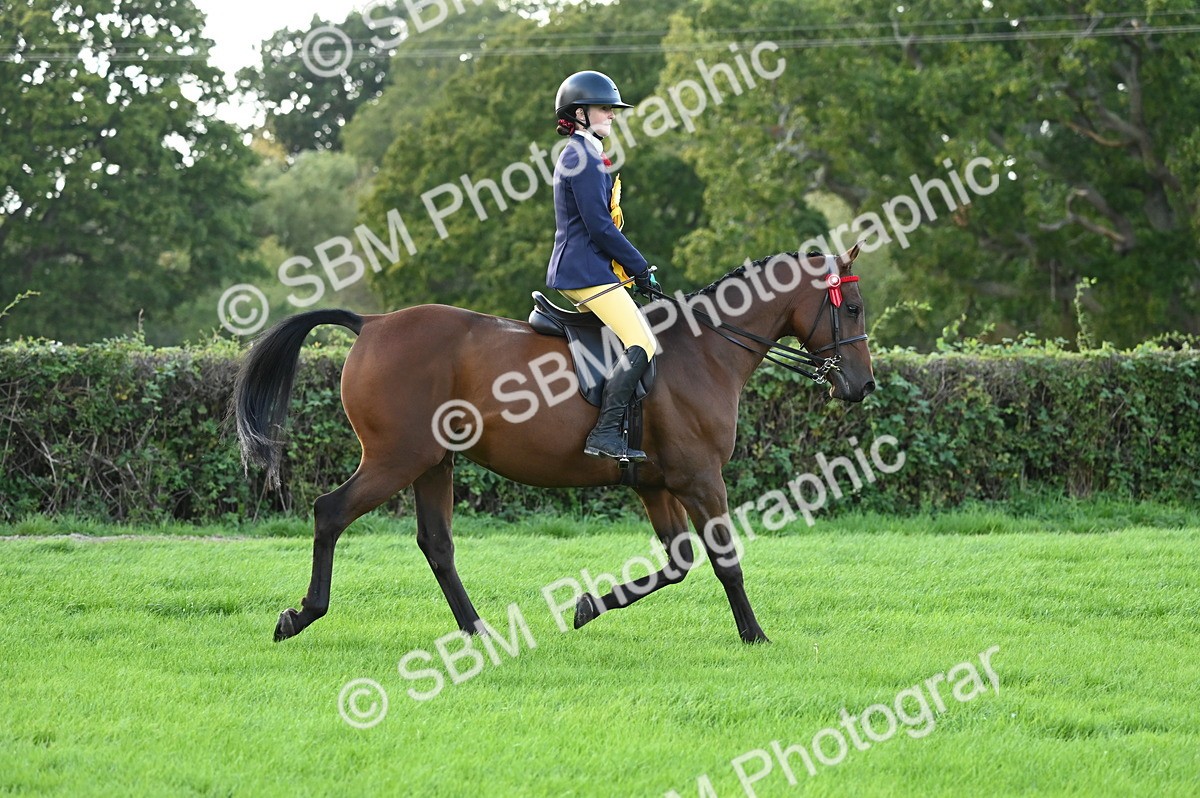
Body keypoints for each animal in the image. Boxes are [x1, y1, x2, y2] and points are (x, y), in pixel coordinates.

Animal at [233, 245, 874, 644]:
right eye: (853, 308)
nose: (863, 386)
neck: (705, 349)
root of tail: (373, 323)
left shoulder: (657, 484)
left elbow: (677, 564)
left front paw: (588, 606)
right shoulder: (699, 479)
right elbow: (725, 560)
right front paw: (755, 635)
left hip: (433, 463)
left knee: (436, 544)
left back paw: (478, 632)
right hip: (396, 459)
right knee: (330, 512)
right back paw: (301, 616)